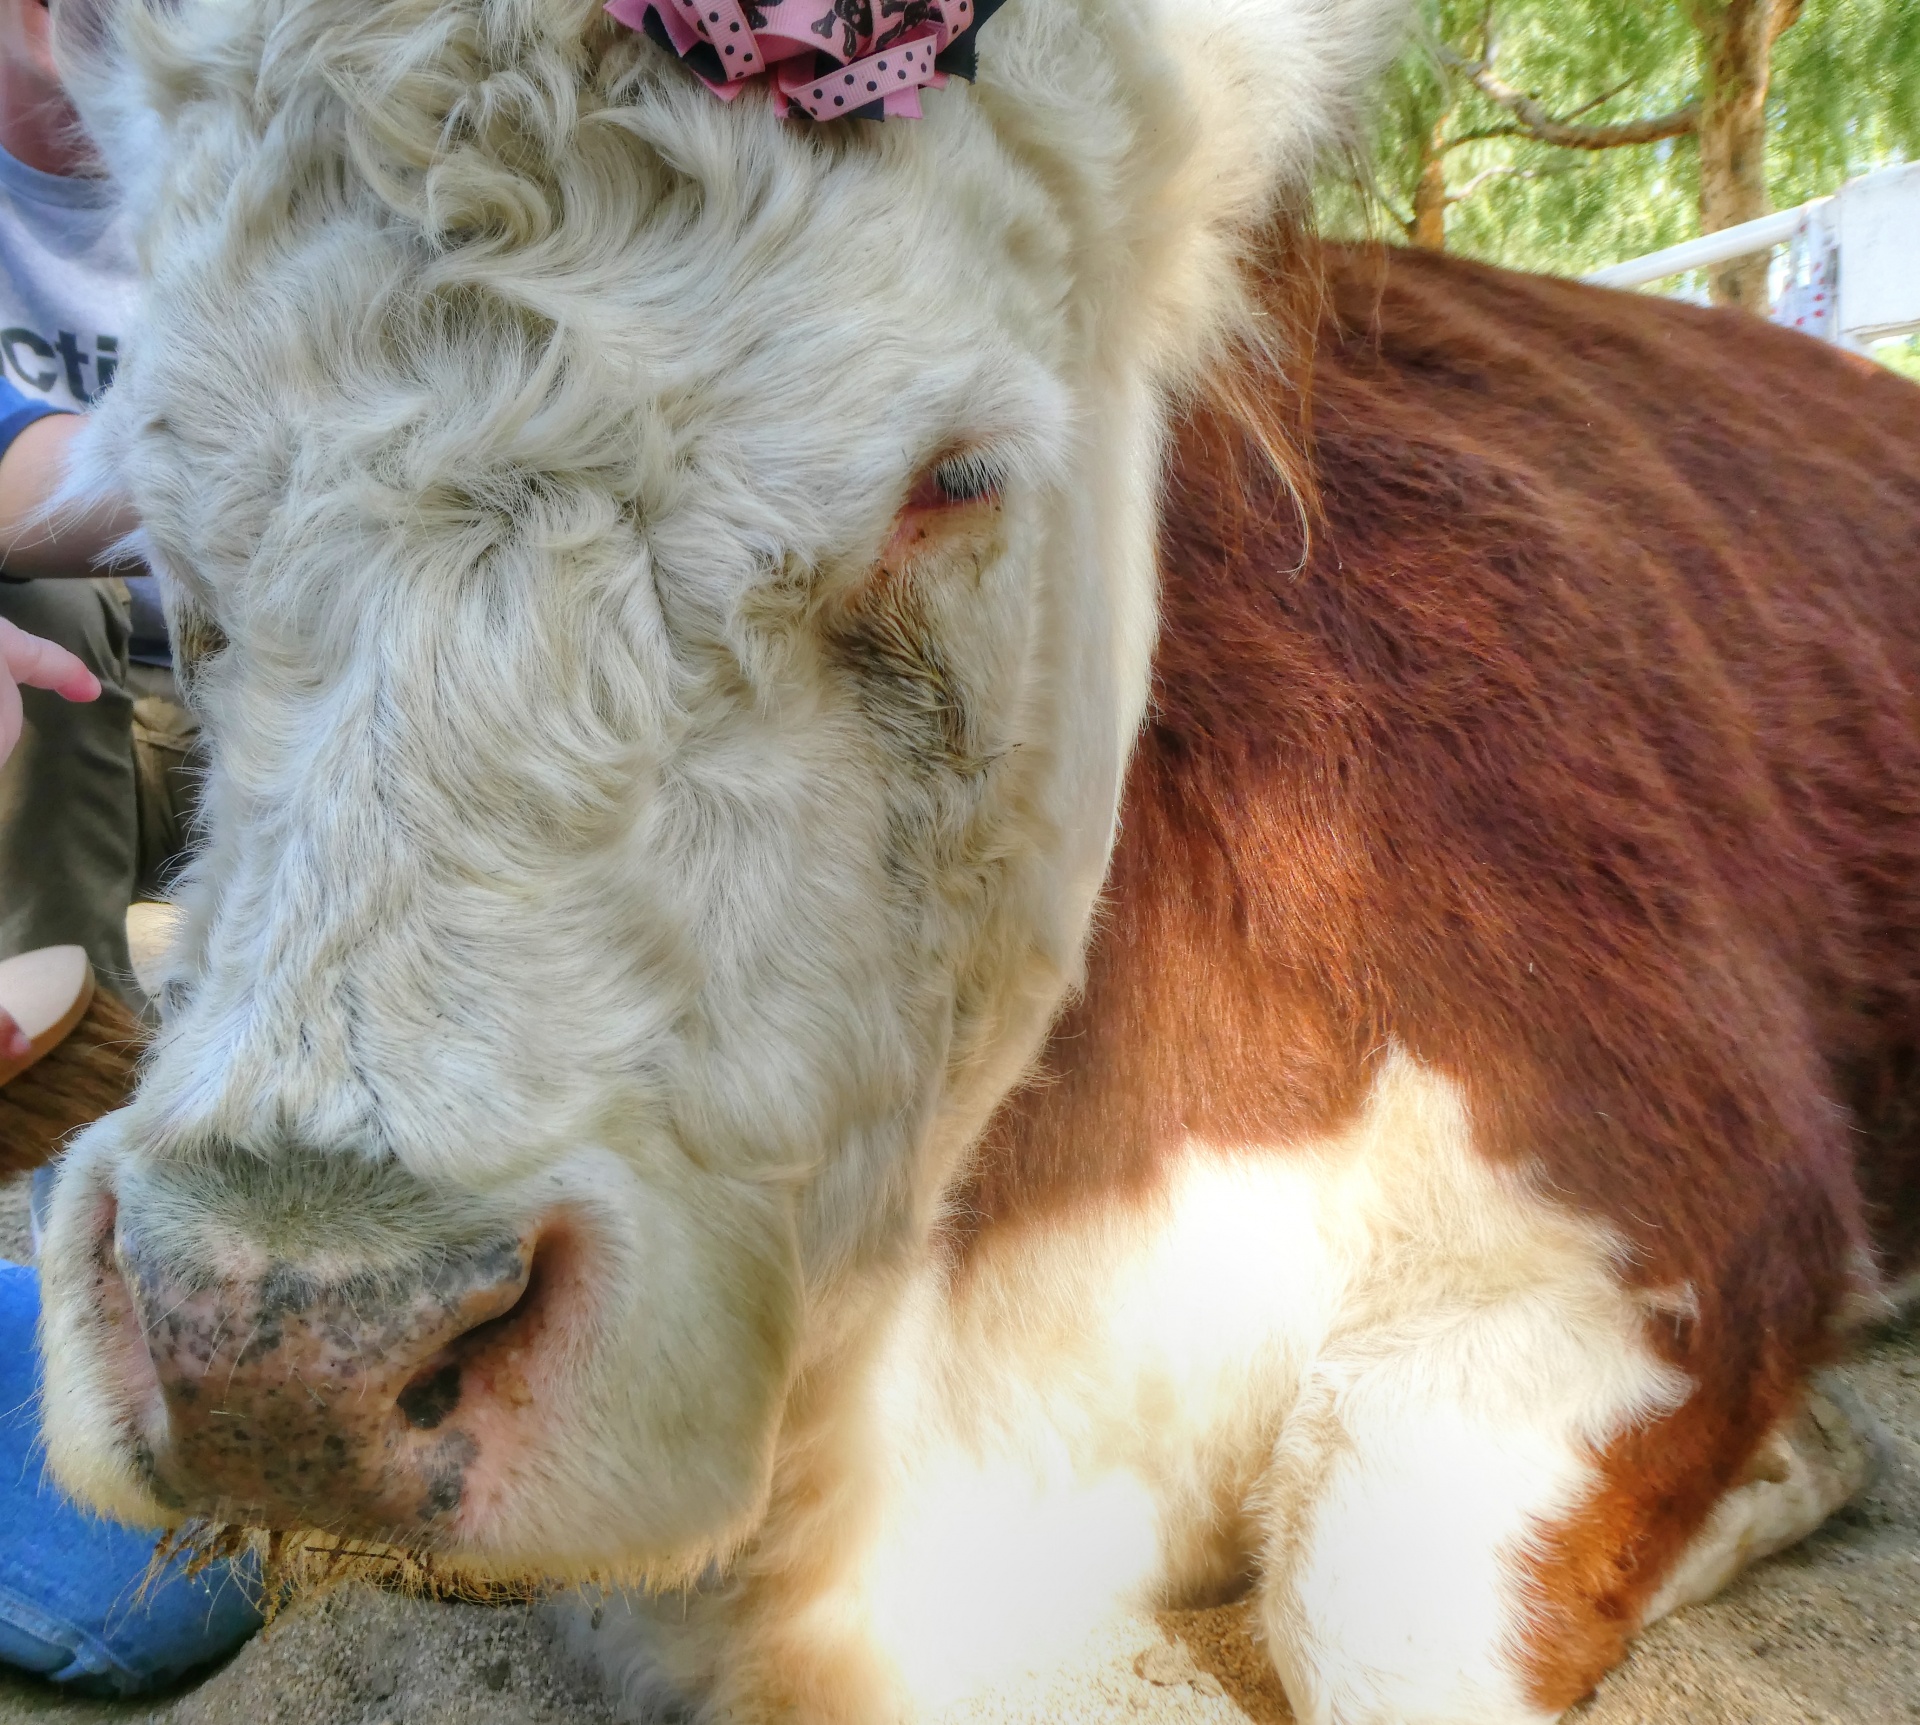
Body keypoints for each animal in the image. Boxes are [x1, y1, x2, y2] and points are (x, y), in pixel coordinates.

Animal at [26, 0, 1920, 1713]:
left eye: (955, 474)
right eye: (164, 498)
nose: (285, 1342)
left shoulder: (1674, 1176)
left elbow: (1376, 1613)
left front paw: (1787, 1464)